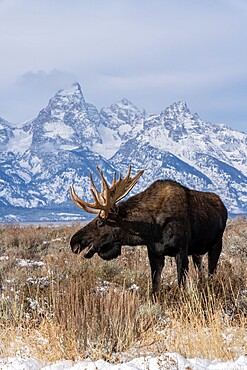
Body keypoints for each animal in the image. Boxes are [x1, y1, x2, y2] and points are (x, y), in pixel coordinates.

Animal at [69, 166, 228, 294]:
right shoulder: (154, 253)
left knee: (211, 272)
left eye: (100, 222)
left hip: (216, 244)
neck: (151, 228)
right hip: (196, 252)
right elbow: (155, 287)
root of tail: (223, 206)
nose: (74, 242)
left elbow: (181, 285)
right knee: (201, 271)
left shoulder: (181, 250)